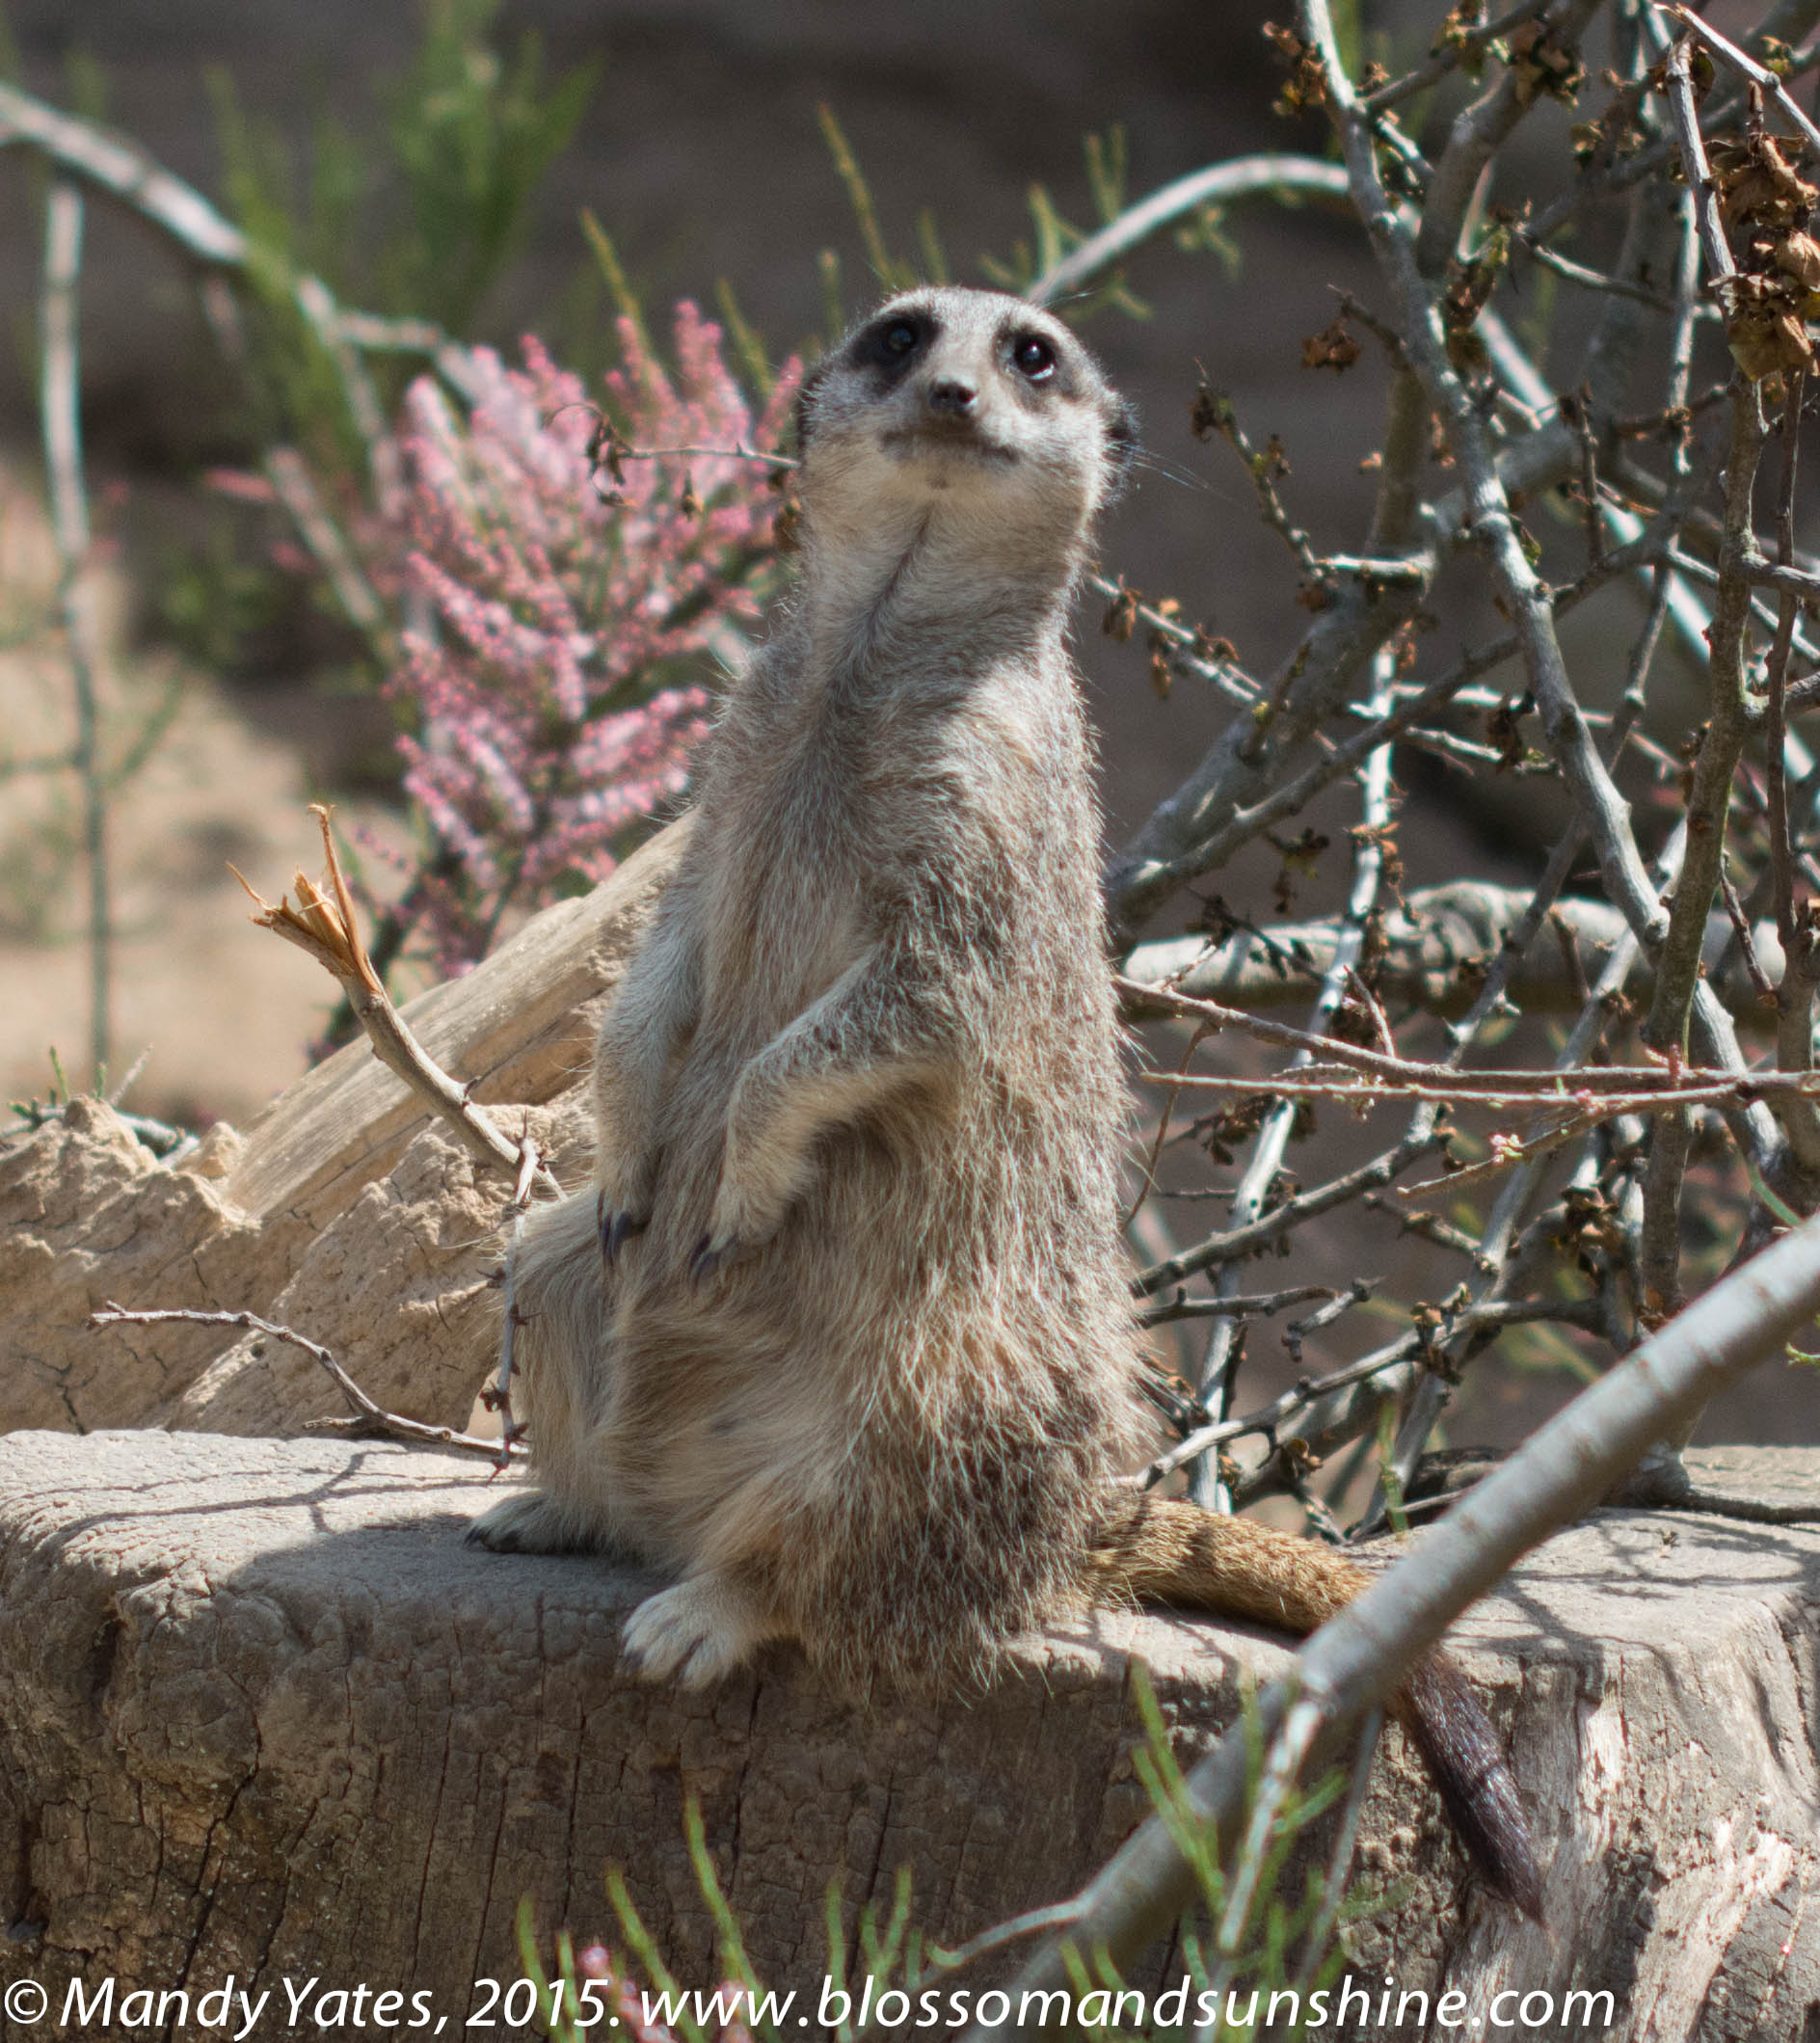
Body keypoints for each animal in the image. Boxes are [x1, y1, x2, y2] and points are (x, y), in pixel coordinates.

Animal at [467, 285, 1540, 1914]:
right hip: (582, 1298)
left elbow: (918, 998)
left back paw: (719, 1600)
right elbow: (665, 959)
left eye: (1033, 353)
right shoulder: (727, 773)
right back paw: (565, 1499)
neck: (867, 664)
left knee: (862, 1555)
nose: (957, 395)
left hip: (953, 1382)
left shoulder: (989, 824)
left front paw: (746, 1160)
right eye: (901, 336)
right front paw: (640, 1140)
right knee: (553, 1273)